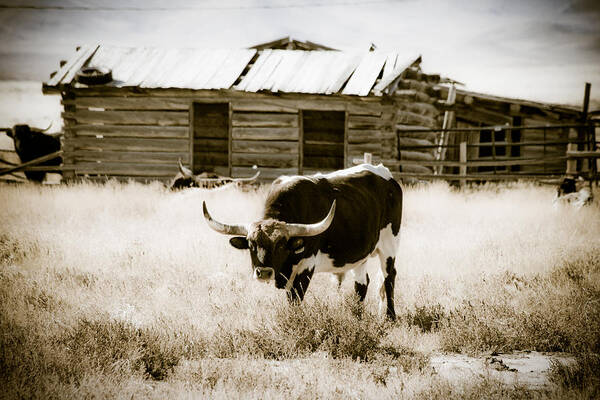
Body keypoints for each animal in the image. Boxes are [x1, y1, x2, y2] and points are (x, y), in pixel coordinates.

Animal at [202, 162, 404, 318]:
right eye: (252, 245)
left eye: (281, 245)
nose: (264, 273)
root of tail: (385, 173)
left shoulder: (306, 265)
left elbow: (295, 298)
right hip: (360, 254)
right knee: (362, 283)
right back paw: (357, 317)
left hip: (389, 244)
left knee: (389, 277)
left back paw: (390, 317)